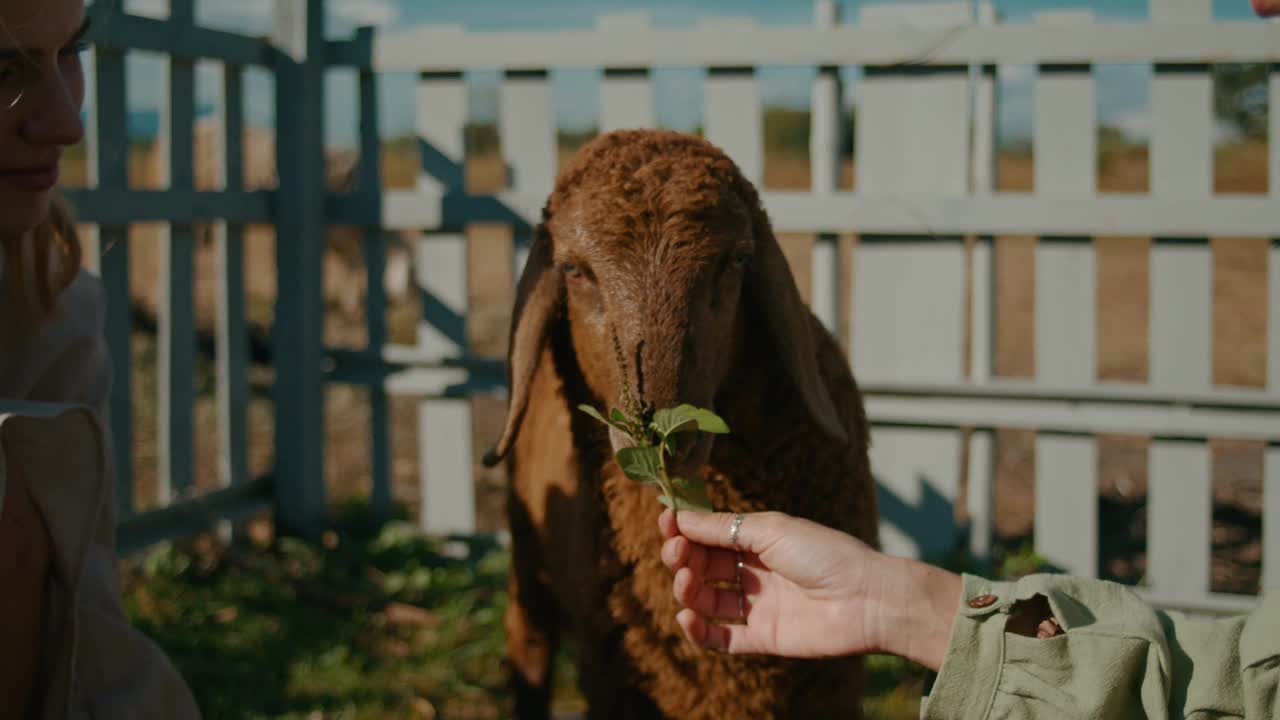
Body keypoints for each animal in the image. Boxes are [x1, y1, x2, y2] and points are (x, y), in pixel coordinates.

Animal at [481, 130, 880, 717]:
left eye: (737, 260)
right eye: (575, 270)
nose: (661, 439)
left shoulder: (832, 689)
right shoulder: (613, 681)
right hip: (528, 554)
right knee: (528, 642)